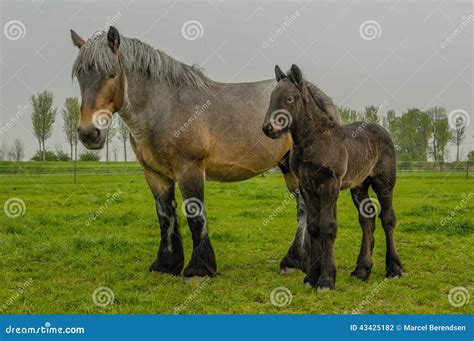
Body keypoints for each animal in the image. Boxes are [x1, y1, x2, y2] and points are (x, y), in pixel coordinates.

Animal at [68, 25, 338, 278]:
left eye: (111, 74)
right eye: (80, 76)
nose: (88, 133)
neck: (166, 107)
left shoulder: (190, 169)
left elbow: (195, 215)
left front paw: (199, 269)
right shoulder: (156, 175)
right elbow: (165, 216)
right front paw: (166, 265)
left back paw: (296, 262)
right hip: (288, 167)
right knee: (304, 207)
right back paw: (300, 262)